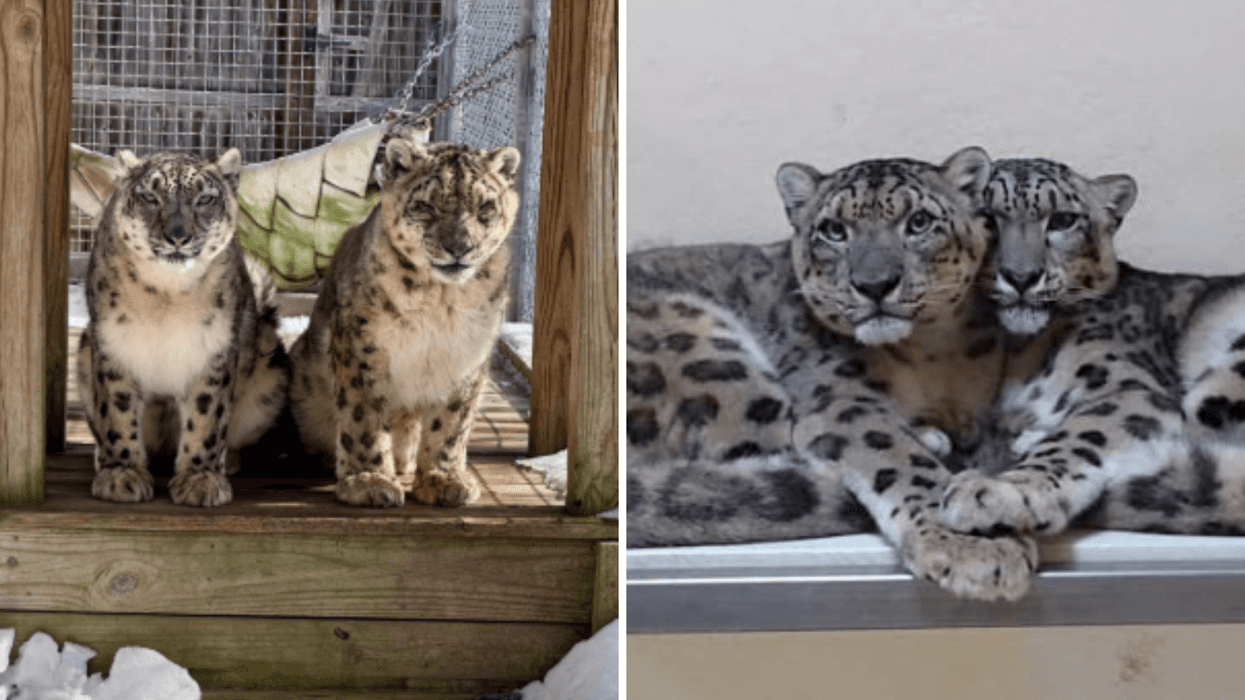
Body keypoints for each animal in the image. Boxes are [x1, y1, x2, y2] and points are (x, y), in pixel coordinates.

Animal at [78, 148, 291, 507]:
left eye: (204, 199)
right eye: (151, 197)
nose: (178, 236)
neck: (167, 296)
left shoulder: (213, 352)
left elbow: (206, 417)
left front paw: (200, 479)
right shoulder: (114, 346)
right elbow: (118, 411)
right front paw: (122, 474)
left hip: (269, 379)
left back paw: (227, 462)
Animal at [288, 139, 520, 508]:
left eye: (485, 206)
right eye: (426, 206)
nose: (460, 247)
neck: (442, 300)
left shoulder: (468, 355)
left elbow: (451, 423)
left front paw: (444, 479)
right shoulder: (362, 346)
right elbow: (363, 416)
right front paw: (369, 481)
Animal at [627, 147, 1043, 602]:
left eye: (919, 222)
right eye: (833, 230)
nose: (874, 284)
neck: (935, 355)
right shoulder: (838, 398)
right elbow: (894, 452)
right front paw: (979, 548)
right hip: (713, 363)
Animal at [939, 156, 1245, 538]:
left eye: (1063, 219)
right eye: (986, 218)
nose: (1022, 276)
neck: (1013, 354)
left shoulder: (1128, 387)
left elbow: (1080, 435)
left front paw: (998, 491)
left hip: (1219, 384)